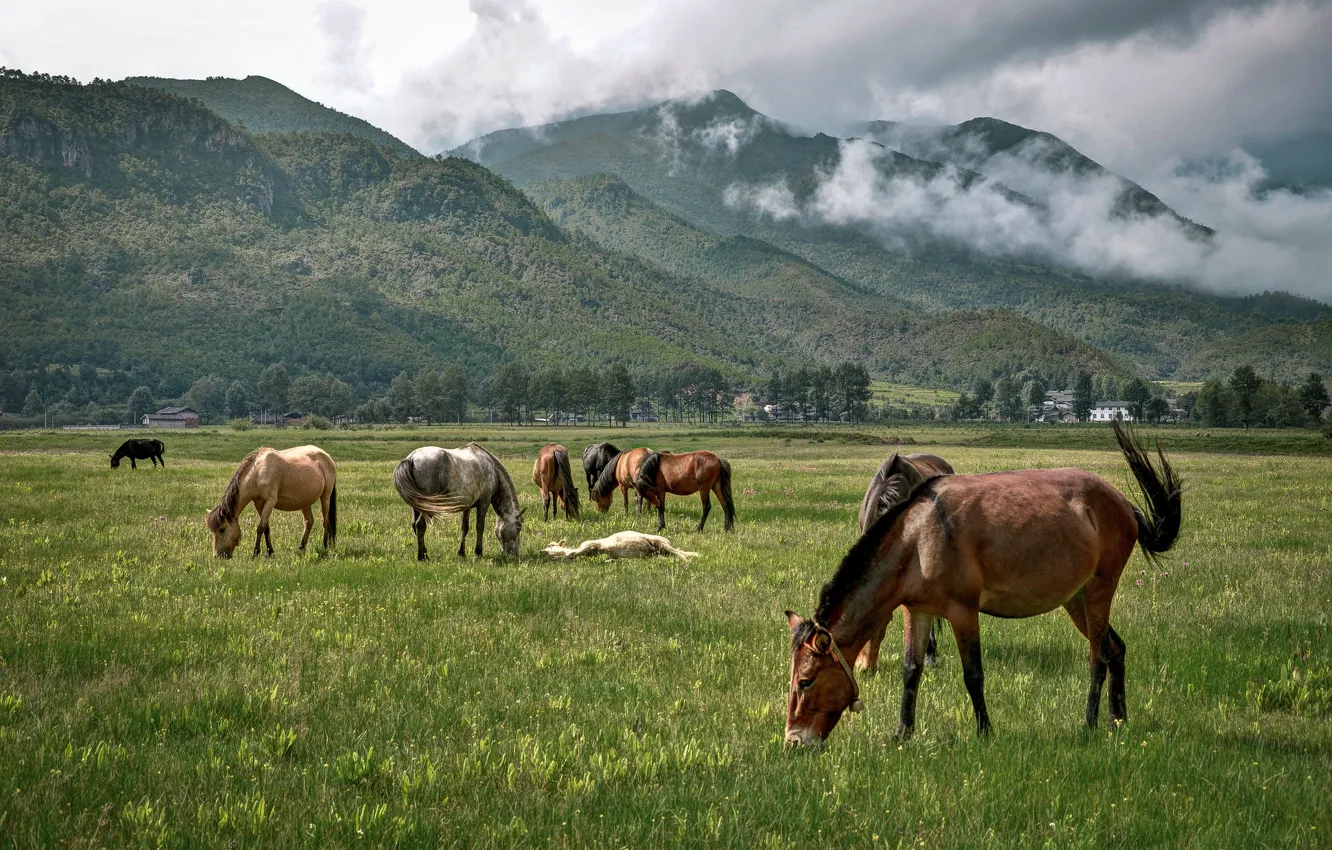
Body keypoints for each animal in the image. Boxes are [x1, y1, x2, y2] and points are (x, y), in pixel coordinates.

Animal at [204, 445, 337, 558]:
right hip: (305, 501)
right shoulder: (258, 504)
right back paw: (302, 547)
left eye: (222, 529)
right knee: (309, 522)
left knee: (325, 521)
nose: (218, 556)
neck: (257, 473)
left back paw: (324, 547)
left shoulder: (270, 502)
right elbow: (266, 527)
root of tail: (328, 457)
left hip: (325, 496)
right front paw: (269, 552)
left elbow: (260, 527)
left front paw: (256, 552)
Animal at [393, 442, 524, 560]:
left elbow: (464, 528)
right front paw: (478, 552)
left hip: (416, 506)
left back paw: (424, 552)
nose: (515, 554)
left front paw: (462, 553)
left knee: (414, 525)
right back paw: (422, 557)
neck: (492, 469)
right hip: (428, 507)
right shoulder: (484, 503)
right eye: (518, 528)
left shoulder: (467, 506)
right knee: (420, 525)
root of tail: (411, 458)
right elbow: (480, 527)